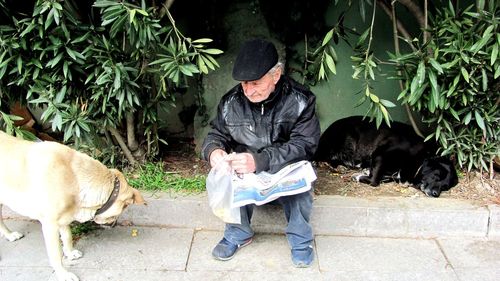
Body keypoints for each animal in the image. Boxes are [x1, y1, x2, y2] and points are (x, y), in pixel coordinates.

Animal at [0, 131, 146, 280]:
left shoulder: (65, 216)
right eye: (121, 211)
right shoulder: (50, 225)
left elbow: (67, 236)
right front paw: (63, 273)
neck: (74, 178)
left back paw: (10, 235)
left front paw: (70, 253)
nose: (114, 224)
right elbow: (56, 254)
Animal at [314, 116, 458, 197]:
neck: (419, 158)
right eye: (436, 176)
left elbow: (383, 177)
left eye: (445, 187)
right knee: (322, 157)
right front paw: (360, 177)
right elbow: (374, 181)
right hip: (348, 138)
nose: (436, 194)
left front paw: (365, 172)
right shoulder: (380, 154)